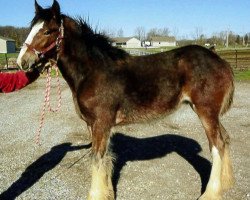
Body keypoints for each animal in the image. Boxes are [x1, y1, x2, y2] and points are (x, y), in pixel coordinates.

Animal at [16, 0, 235, 199]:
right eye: (31, 29)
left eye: (47, 31)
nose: (22, 62)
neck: (93, 71)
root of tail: (221, 62)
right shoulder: (96, 125)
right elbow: (105, 159)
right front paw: (108, 193)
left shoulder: (101, 123)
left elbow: (97, 159)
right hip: (211, 114)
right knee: (225, 139)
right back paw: (226, 184)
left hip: (206, 111)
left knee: (217, 145)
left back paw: (210, 193)